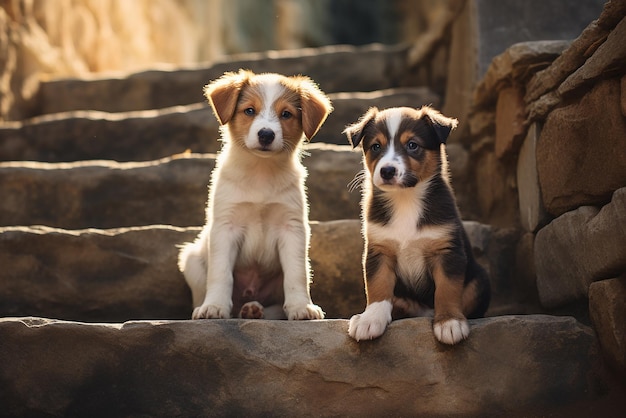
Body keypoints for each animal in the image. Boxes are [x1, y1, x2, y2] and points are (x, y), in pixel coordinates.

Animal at [178, 71, 330, 320]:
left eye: (286, 114)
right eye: (249, 110)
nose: (266, 134)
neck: (261, 171)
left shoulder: (292, 228)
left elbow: (296, 274)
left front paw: (301, 306)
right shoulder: (226, 227)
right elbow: (220, 273)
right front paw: (215, 306)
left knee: (276, 306)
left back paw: (254, 310)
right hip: (191, 260)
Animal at [344, 106, 490, 344]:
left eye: (412, 145)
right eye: (376, 146)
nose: (387, 171)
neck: (405, 199)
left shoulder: (447, 251)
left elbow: (447, 289)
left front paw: (449, 322)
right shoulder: (378, 250)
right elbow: (377, 286)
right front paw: (370, 319)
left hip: (479, 279)